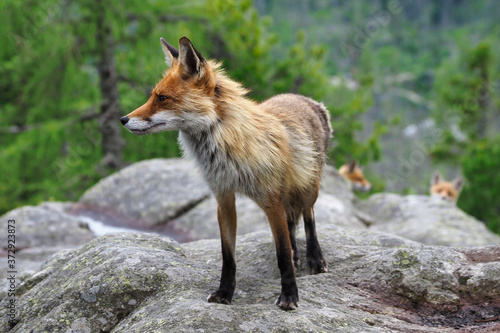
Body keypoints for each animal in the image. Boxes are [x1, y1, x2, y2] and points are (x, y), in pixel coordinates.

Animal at [120, 36, 332, 308]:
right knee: (292, 223)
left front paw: (289, 296)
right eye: (152, 97)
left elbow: (282, 254)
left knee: (308, 217)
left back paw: (315, 258)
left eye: (162, 98)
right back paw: (299, 256)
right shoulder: (223, 198)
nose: (123, 119)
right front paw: (224, 293)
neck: (228, 150)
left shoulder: (270, 200)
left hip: (307, 189)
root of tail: (307, 100)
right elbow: (228, 255)